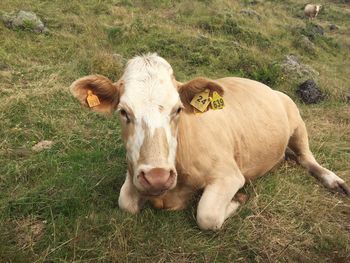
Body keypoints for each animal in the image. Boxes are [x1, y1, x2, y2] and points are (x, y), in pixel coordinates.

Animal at [69, 53, 348, 231]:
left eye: (178, 109)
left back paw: (333, 181)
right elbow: (125, 203)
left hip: (297, 121)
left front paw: (238, 200)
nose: (158, 177)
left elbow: (207, 215)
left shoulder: (229, 175)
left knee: (307, 158)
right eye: (124, 112)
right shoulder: (134, 172)